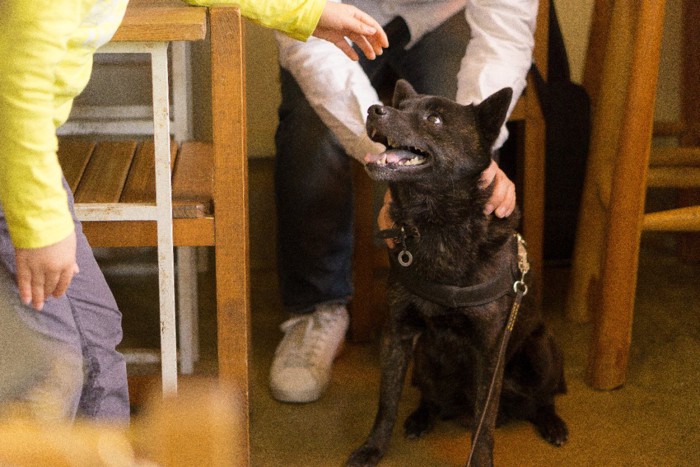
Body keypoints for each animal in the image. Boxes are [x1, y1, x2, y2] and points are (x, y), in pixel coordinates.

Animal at [346, 81, 568, 467]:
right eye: (400, 106)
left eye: (434, 119)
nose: (374, 109)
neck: (437, 224)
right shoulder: (398, 334)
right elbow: (386, 402)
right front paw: (372, 449)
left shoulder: (489, 353)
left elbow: (484, 424)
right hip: (424, 360)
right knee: (432, 398)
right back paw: (421, 417)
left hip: (541, 351)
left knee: (542, 399)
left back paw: (551, 423)